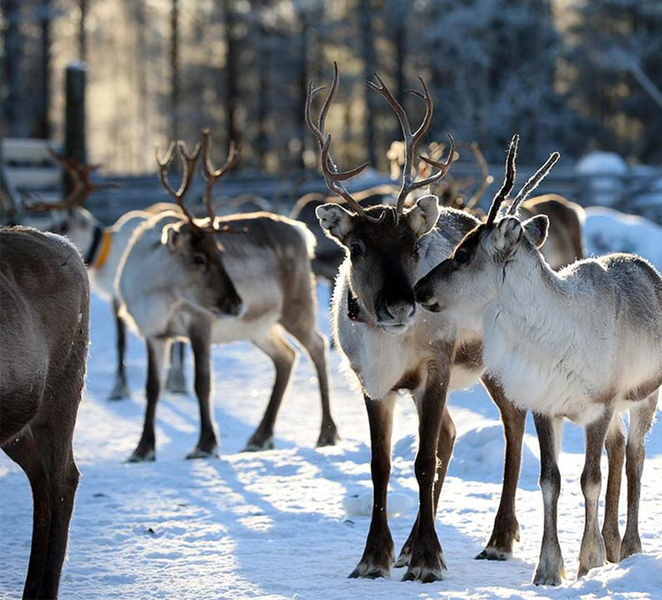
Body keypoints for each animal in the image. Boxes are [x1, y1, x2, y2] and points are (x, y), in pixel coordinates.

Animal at [28, 150, 189, 400]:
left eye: (63, 224)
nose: (48, 241)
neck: (106, 253)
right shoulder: (117, 298)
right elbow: (121, 342)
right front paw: (119, 387)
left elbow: (121, 342)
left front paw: (119, 388)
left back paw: (177, 380)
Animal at [117, 129, 338, 462]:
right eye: (198, 258)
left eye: (220, 252)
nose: (236, 303)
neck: (156, 294)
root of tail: (303, 232)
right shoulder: (153, 333)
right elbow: (152, 388)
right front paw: (142, 449)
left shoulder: (200, 323)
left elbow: (203, 383)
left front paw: (205, 445)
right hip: (258, 326)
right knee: (285, 357)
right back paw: (260, 437)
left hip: (297, 305)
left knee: (317, 346)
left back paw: (326, 434)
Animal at [307, 64, 531, 582]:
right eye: (357, 248)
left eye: (412, 246)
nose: (400, 306)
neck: (392, 344)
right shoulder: (374, 383)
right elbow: (381, 465)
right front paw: (375, 557)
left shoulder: (437, 367)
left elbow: (423, 460)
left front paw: (430, 559)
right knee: (450, 434)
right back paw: (409, 545)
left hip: (494, 363)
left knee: (512, 423)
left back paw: (499, 539)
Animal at [414, 134, 662, 585]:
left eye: (463, 253)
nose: (420, 289)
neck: (554, 337)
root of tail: (647, 268)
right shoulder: (547, 406)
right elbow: (550, 481)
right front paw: (548, 569)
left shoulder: (599, 406)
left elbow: (589, 479)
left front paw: (587, 562)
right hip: (618, 409)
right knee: (619, 449)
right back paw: (613, 544)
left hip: (643, 397)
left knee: (635, 456)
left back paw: (630, 547)